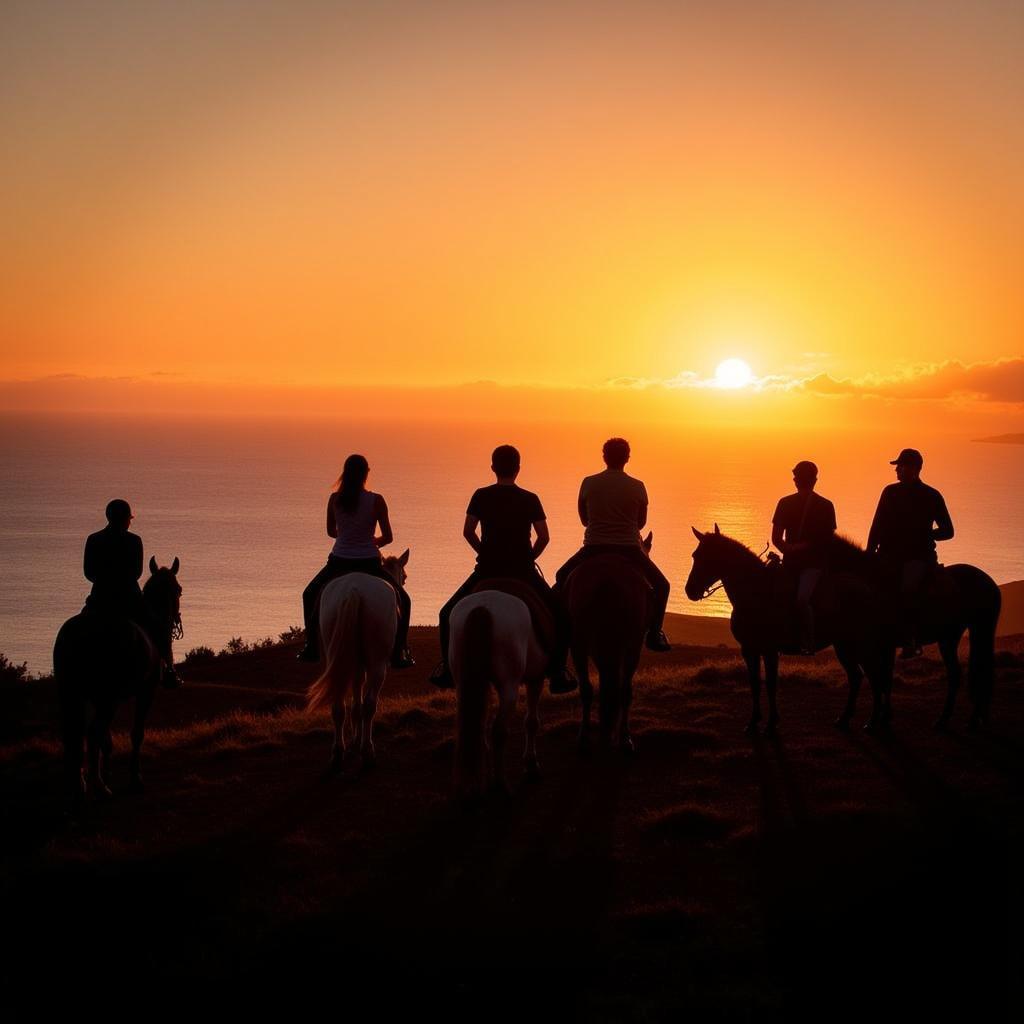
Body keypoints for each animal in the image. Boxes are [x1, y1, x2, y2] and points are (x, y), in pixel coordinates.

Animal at [54, 557, 183, 802]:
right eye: (179, 590)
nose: (175, 623)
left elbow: (107, 740)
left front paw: (107, 773)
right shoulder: (145, 692)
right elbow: (136, 734)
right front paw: (135, 778)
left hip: (71, 693)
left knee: (74, 733)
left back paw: (77, 783)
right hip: (106, 697)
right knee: (92, 732)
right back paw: (98, 786)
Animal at [303, 552, 407, 774]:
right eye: (404, 576)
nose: (402, 582)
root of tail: (354, 591)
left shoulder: (356, 663)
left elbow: (355, 697)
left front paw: (354, 741)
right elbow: (362, 701)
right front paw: (359, 742)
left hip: (333, 652)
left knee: (337, 705)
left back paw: (337, 753)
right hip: (378, 663)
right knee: (370, 705)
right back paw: (368, 752)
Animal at [448, 585, 544, 798]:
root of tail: (483, 607)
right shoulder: (536, 678)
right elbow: (532, 722)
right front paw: (531, 764)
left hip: (463, 680)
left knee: (476, 726)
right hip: (509, 685)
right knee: (499, 730)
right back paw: (500, 783)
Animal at [565, 528, 651, 753]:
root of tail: (607, 579)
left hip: (580, 642)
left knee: (587, 689)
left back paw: (584, 737)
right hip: (628, 644)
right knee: (623, 689)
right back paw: (622, 738)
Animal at [684, 528, 892, 737]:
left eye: (709, 557)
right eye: (695, 555)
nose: (690, 591)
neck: (756, 593)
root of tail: (867, 590)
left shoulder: (769, 651)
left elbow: (770, 684)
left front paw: (770, 724)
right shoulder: (749, 650)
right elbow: (754, 684)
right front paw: (753, 723)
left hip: (861, 645)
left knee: (874, 677)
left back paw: (872, 722)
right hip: (844, 646)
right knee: (857, 677)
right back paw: (844, 719)